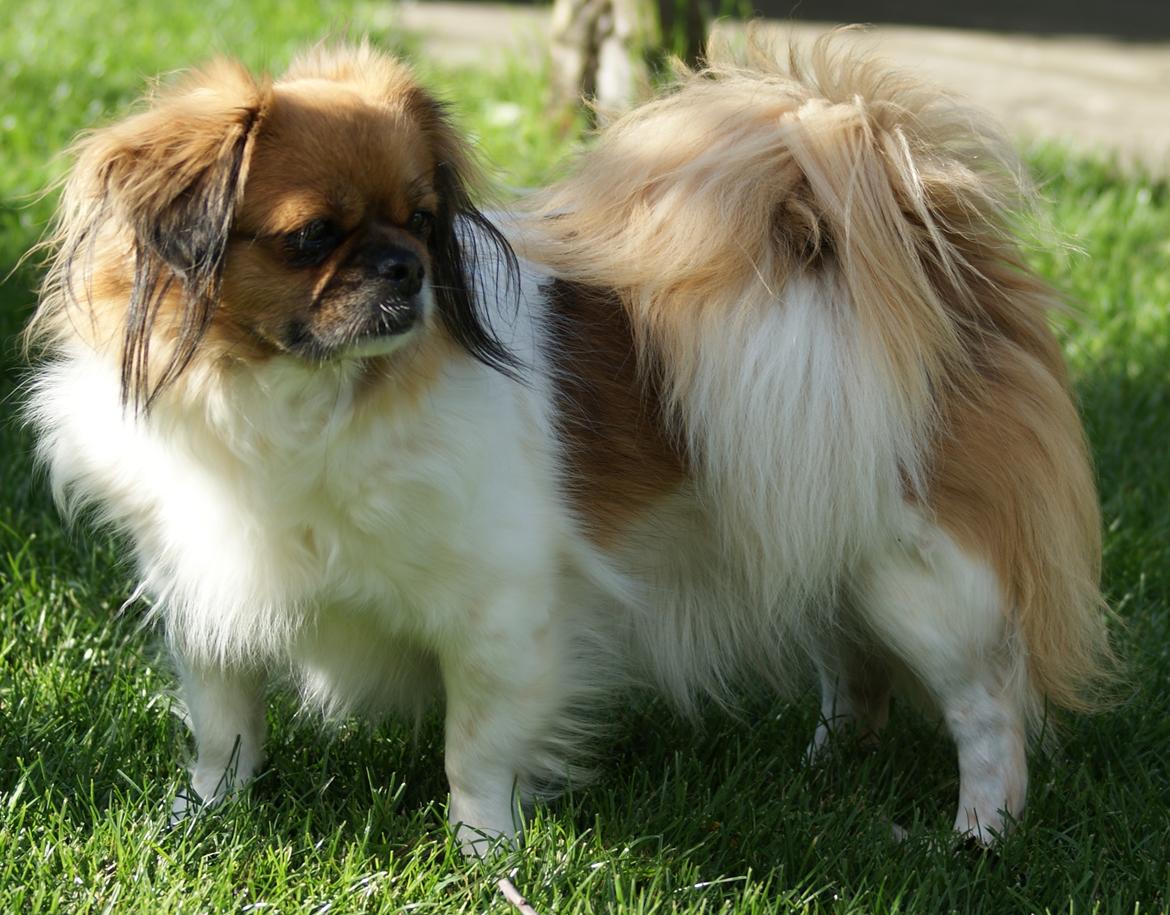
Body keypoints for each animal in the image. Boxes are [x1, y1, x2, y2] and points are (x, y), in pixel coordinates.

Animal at [22, 39, 1109, 856]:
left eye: (424, 222)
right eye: (311, 238)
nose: (405, 267)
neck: (298, 399)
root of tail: (946, 260)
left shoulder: (499, 612)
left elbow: (474, 749)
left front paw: (481, 855)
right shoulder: (209, 589)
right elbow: (225, 727)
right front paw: (201, 818)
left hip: (922, 574)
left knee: (985, 706)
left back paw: (980, 834)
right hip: (811, 530)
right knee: (855, 668)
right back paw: (828, 765)